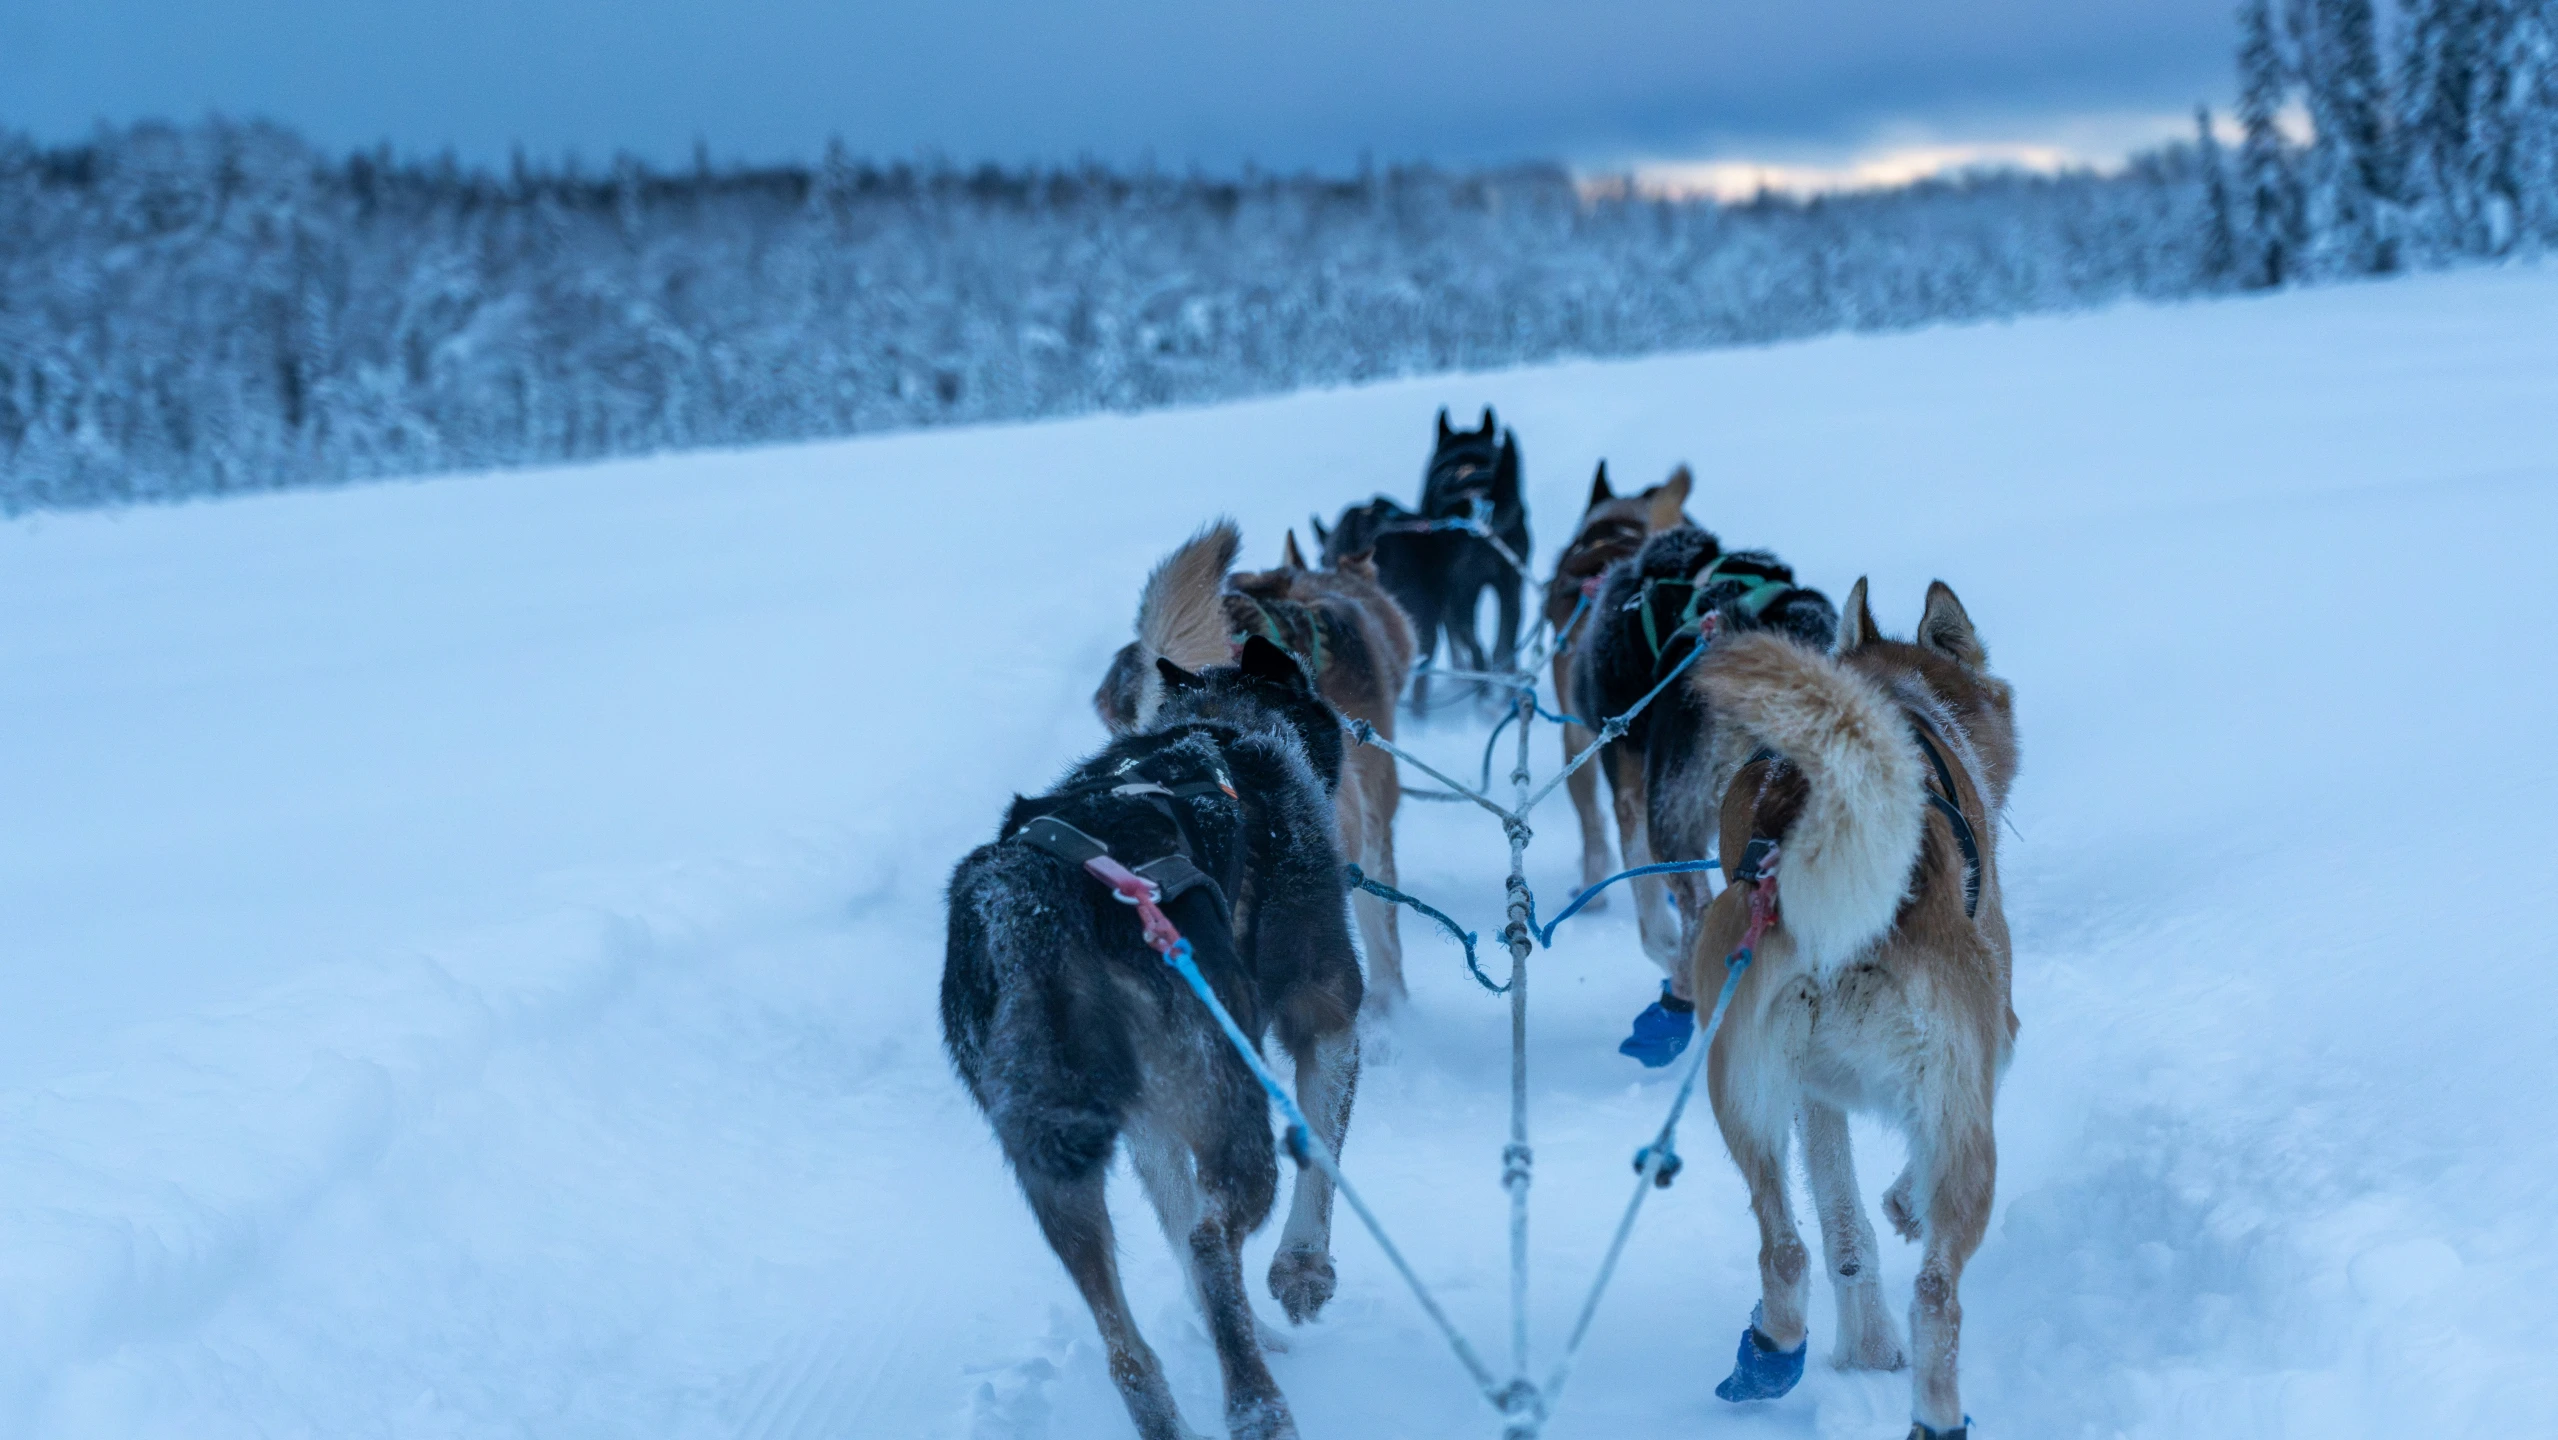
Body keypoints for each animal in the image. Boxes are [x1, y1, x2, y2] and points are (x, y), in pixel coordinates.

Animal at [956, 629, 1360, 1440]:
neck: (1228, 724)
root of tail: (1034, 898)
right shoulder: (1329, 1011)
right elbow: (1321, 1155)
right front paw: (1303, 1271)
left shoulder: (1151, 1125)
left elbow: (1180, 1221)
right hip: (1231, 1099)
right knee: (1209, 1241)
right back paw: (1259, 1407)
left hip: (1058, 1158)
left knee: (1131, 1350)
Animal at [1688, 580, 2025, 1432]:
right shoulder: (1998, 1038)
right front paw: (1905, 1205)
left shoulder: (1817, 1096)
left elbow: (1845, 1231)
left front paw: (1866, 1344)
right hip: (1957, 1115)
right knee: (1928, 1286)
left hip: (1741, 1093)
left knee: (1796, 1251)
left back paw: (1779, 1361)